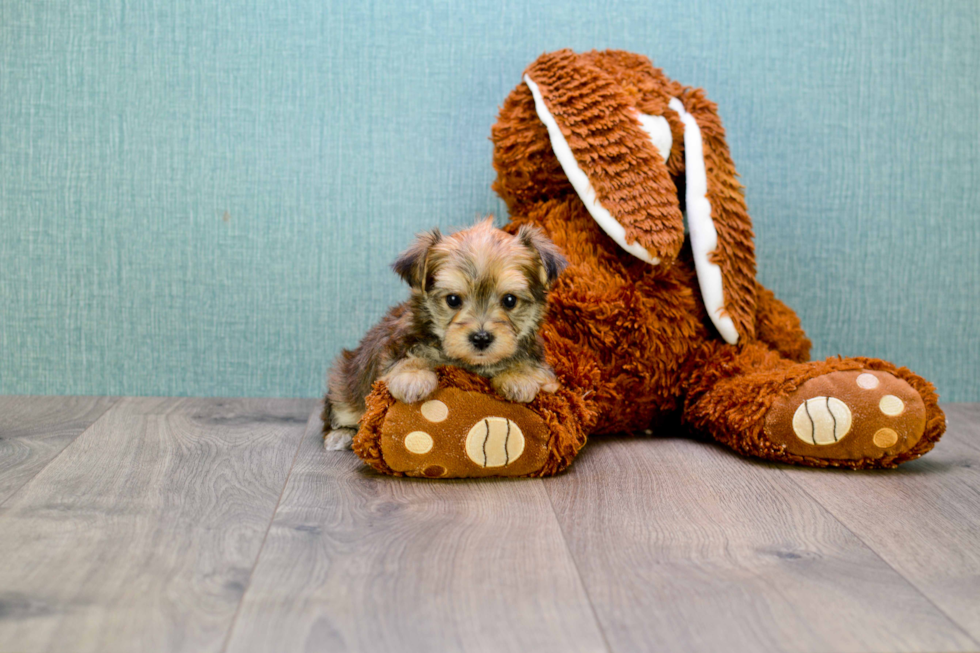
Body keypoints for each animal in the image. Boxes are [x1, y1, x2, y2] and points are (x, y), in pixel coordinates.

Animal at [322, 218, 568, 448]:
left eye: (509, 300)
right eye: (453, 300)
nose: (481, 338)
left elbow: (537, 372)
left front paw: (519, 375)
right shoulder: (398, 344)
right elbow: (404, 358)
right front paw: (413, 376)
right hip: (344, 382)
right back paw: (340, 434)